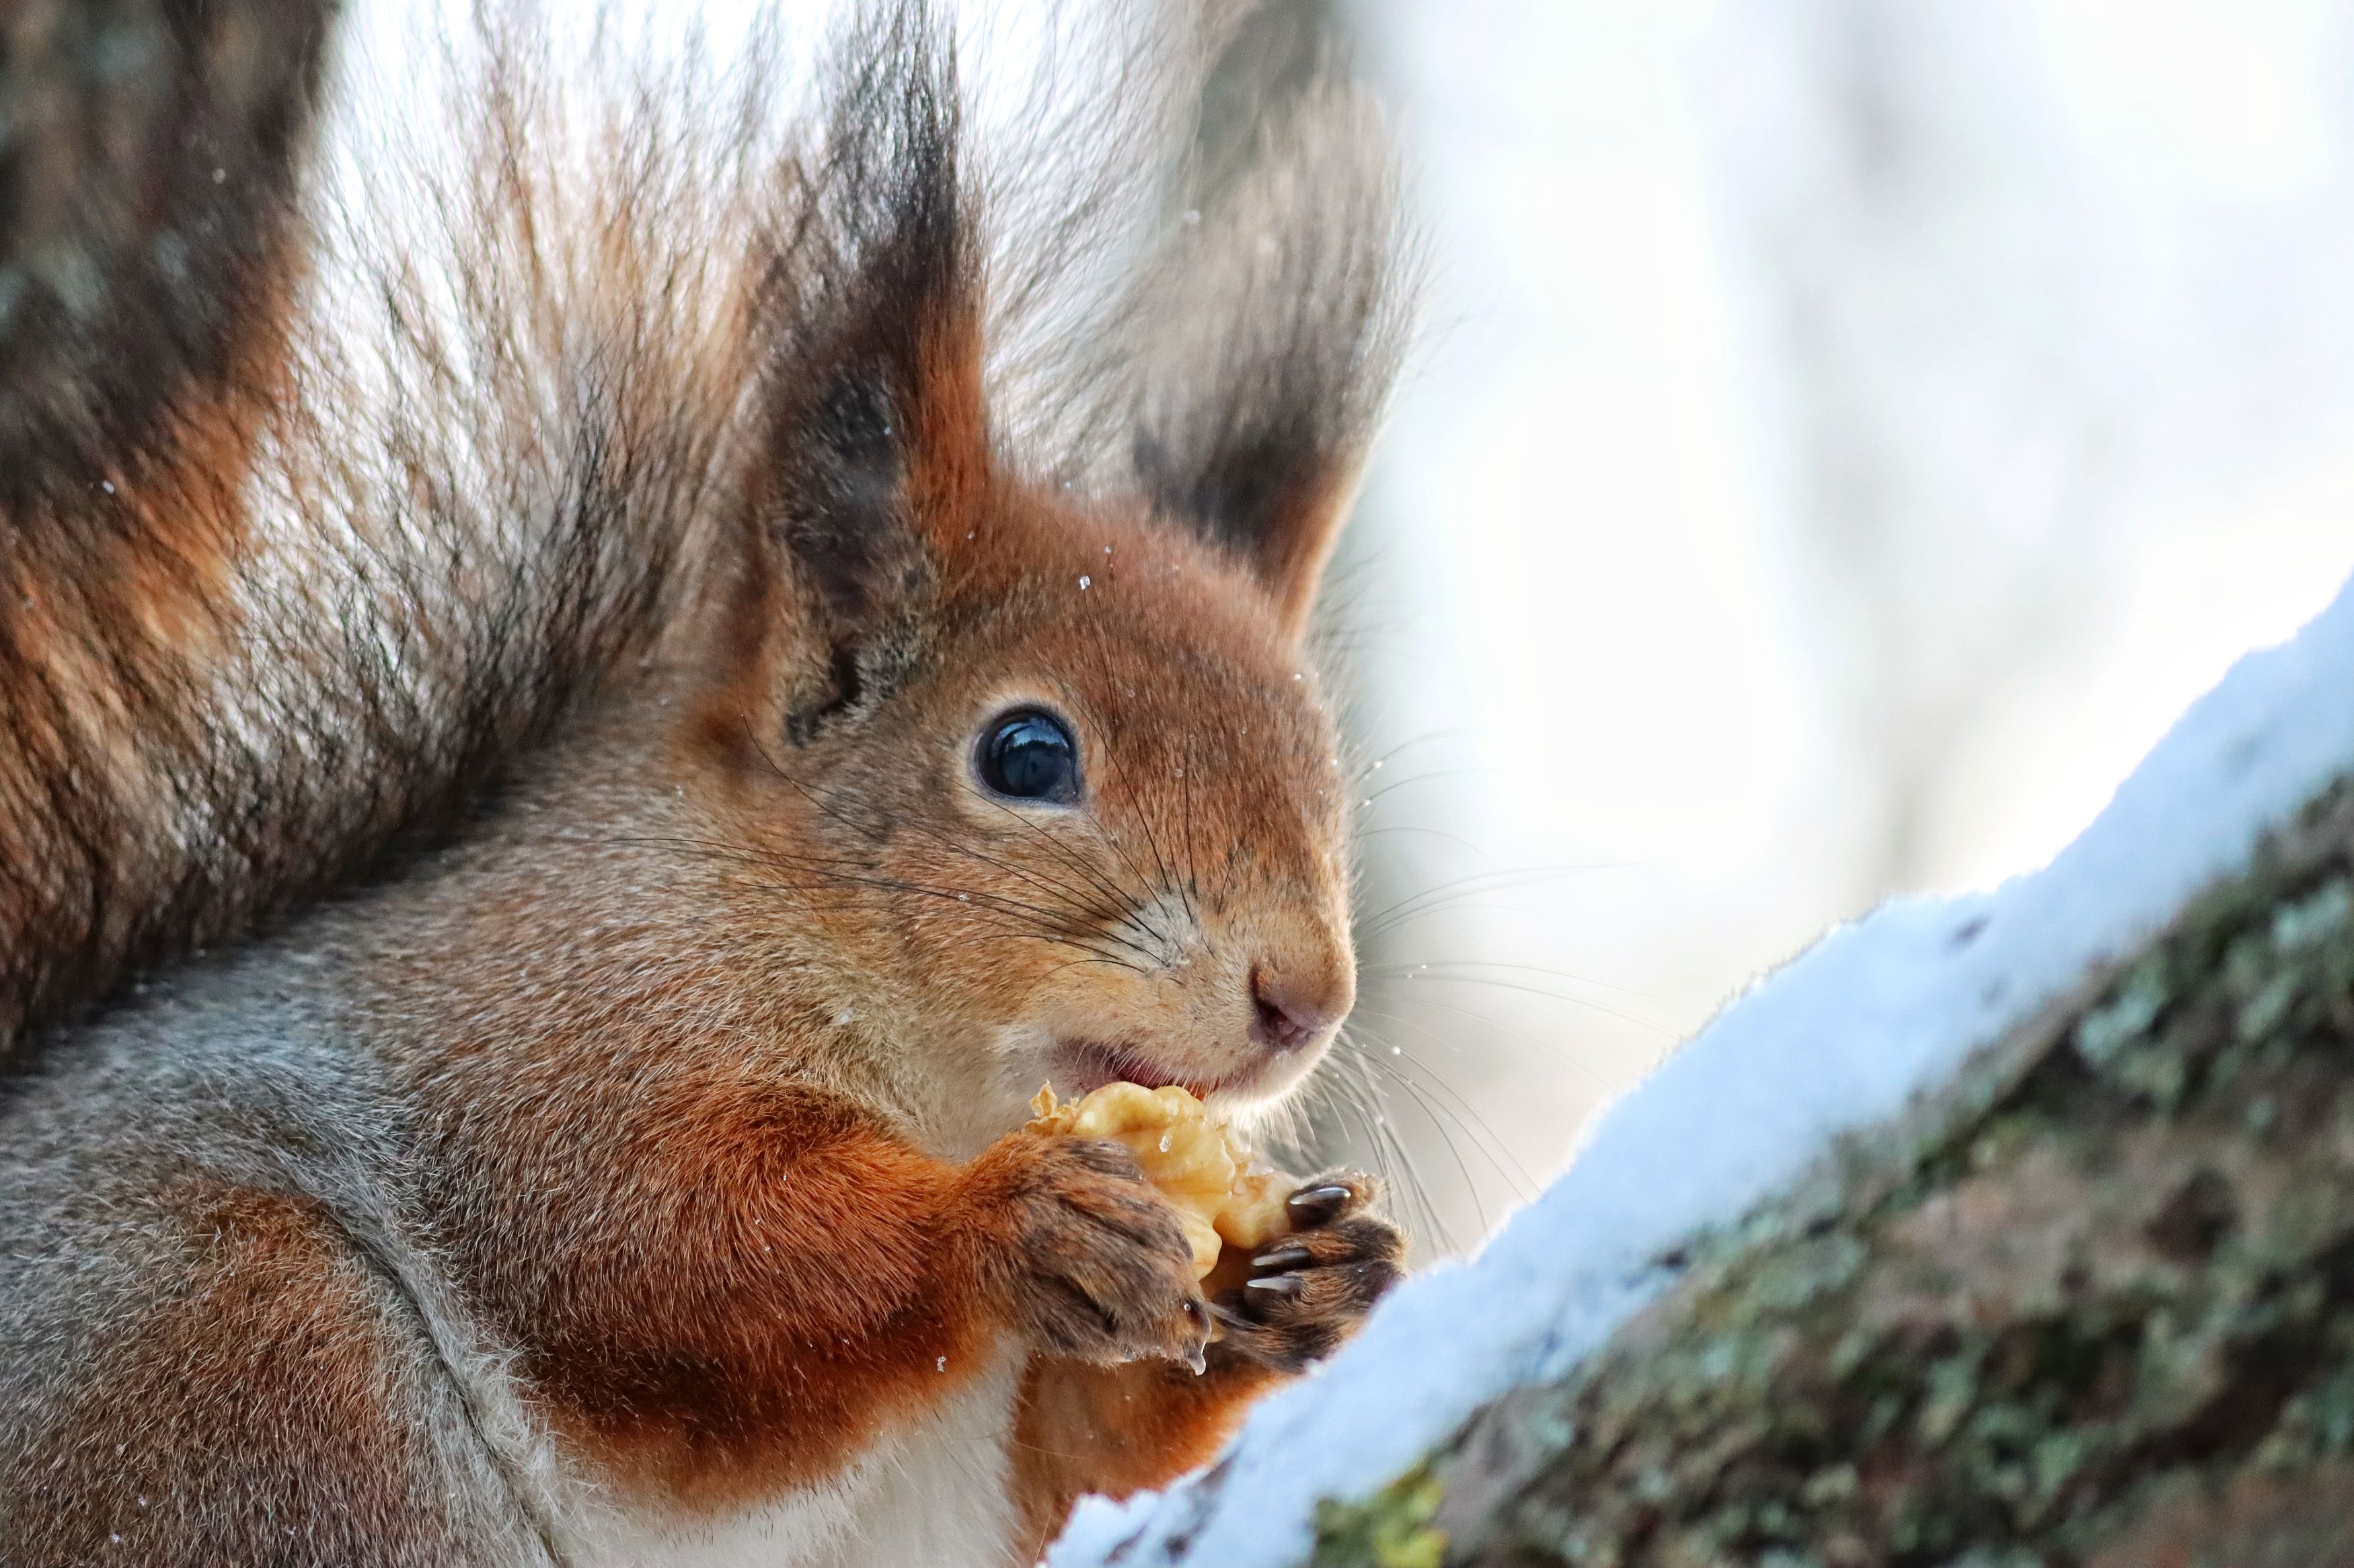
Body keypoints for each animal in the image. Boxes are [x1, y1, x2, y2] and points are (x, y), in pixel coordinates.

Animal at [0, 6, 1412, 1553]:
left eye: (1322, 766)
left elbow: (1072, 1470)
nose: (1303, 998)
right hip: (248, 1361)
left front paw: (1317, 1279)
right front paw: (1007, 1222)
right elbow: (654, 1247)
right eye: (1028, 753)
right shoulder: (542, 1030)